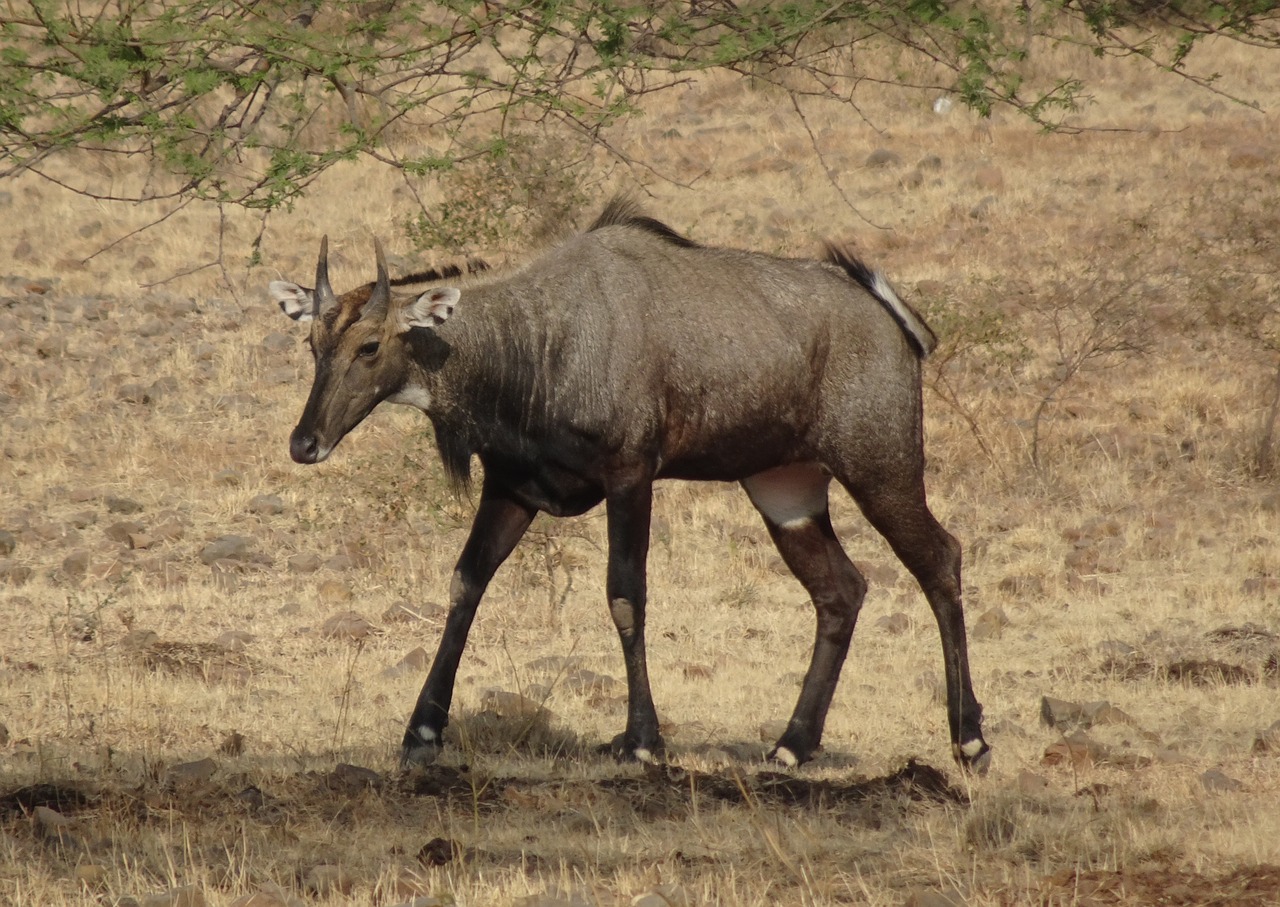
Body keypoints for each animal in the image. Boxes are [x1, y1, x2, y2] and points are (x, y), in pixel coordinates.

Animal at [270, 199, 988, 772]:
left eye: (369, 346)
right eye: (312, 344)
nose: (304, 443)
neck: (538, 339)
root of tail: (894, 321)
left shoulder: (630, 474)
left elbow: (625, 594)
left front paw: (642, 738)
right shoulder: (513, 487)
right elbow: (464, 585)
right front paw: (421, 731)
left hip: (881, 466)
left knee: (939, 559)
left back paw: (970, 740)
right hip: (785, 489)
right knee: (841, 590)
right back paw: (792, 744)